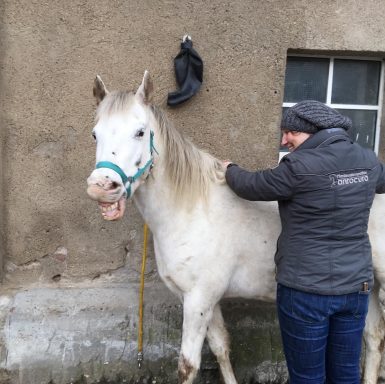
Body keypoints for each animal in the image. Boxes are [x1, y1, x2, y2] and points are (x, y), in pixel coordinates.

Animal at [86, 72, 384, 384]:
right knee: (373, 338)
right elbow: (220, 347)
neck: (193, 209)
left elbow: (188, 365)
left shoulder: (197, 300)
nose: (102, 186)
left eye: (140, 132)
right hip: (368, 290)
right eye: (95, 134)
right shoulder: (204, 300)